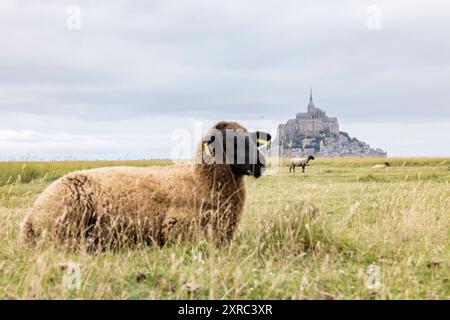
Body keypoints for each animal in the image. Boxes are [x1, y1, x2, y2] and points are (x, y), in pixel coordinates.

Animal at [20, 121, 270, 249]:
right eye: (231, 142)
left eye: (252, 140)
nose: (261, 164)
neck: (200, 181)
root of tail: (29, 218)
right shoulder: (178, 229)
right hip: (65, 223)